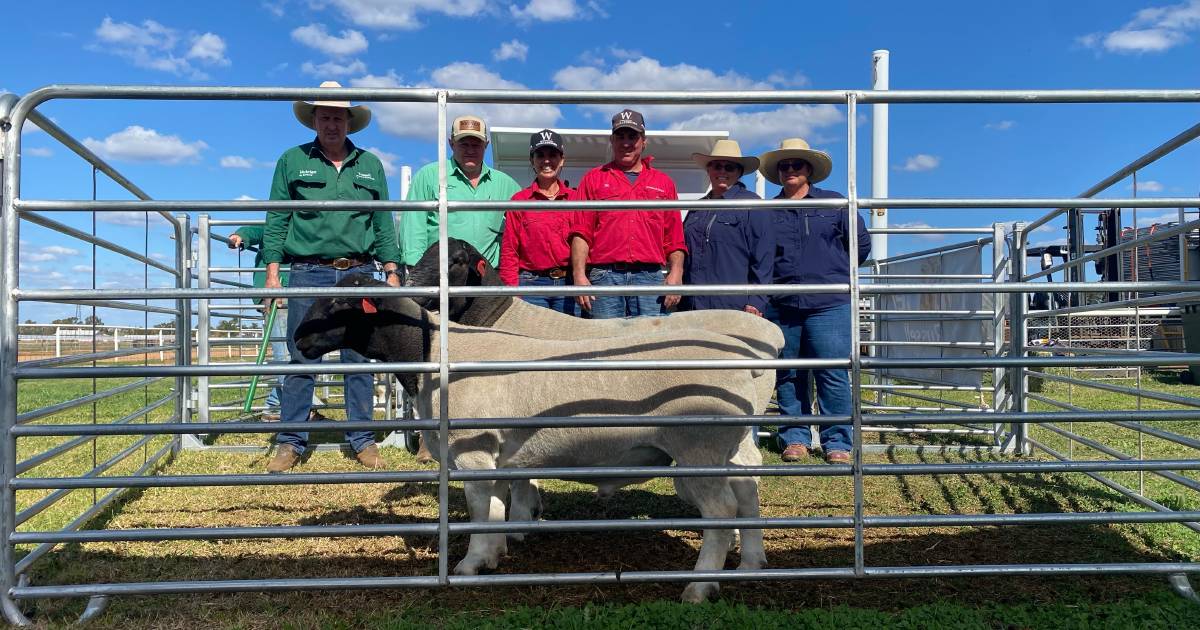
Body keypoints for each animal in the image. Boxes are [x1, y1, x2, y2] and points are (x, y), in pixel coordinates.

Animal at [297, 274, 768, 600]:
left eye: (339, 303)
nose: (298, 340)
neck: (434, 355)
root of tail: (744, 367)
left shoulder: (473, 451)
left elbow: (479, 511)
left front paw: (470, 565)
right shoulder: (494, 454)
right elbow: (497, 507)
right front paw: (493, 555)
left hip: (698, 447)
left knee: (722, 511)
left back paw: (700, 586)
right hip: (729, 447)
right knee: (747, 490)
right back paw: (750, 565)